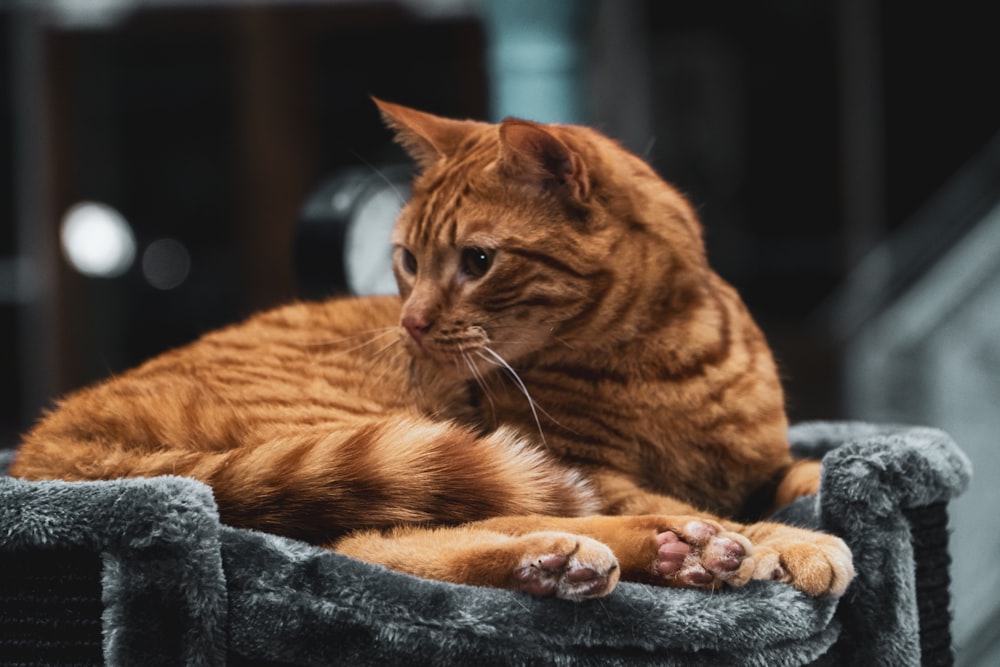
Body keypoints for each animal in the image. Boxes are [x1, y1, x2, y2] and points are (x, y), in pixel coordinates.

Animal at [7, 98, 852, 600]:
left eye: (476, 261)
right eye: (408, 260)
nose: (411, 322)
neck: (668, 355)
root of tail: (46, 437)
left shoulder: (761, 465)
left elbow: (804, 468)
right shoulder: (590, 467)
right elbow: (696, 503)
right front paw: (786, 539)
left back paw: (588, 558)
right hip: (375, 430)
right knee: (382, 536)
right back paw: (662, 550)